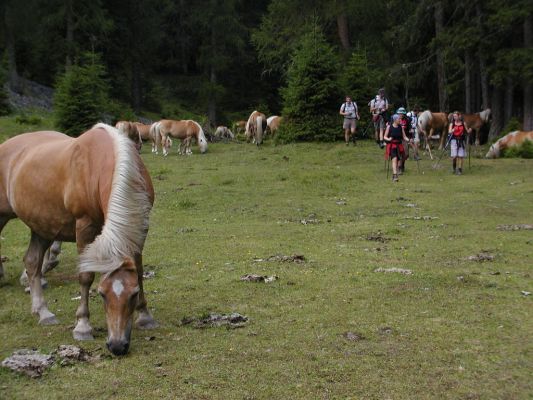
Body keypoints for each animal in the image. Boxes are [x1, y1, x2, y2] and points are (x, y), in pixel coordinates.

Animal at [0, 123, 157, 354]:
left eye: (133, 294)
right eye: (101, 294)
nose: (117, 346)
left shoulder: (139, 227)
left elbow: (138, 269)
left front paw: (145, 316)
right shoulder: (85, 227)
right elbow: (85, 277)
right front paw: (83, 326)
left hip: (42, 226)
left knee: (32, 262)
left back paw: (43, 312)